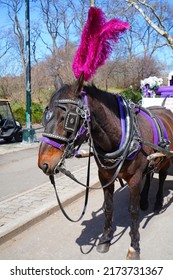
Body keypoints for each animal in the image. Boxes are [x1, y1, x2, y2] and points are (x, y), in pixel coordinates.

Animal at [38, 74, 173, 258]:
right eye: (45, 115)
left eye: (68, 118)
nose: (43, 163)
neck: (122, 134)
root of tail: (165, 110)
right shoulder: (105, 176)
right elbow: (109, 207)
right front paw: (105, 239)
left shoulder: (135, 178)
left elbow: (133, 210)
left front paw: (134, 245)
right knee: (150, 174)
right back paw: (145, 200)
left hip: (166, 159)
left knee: (162, 177)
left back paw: (158, 203)